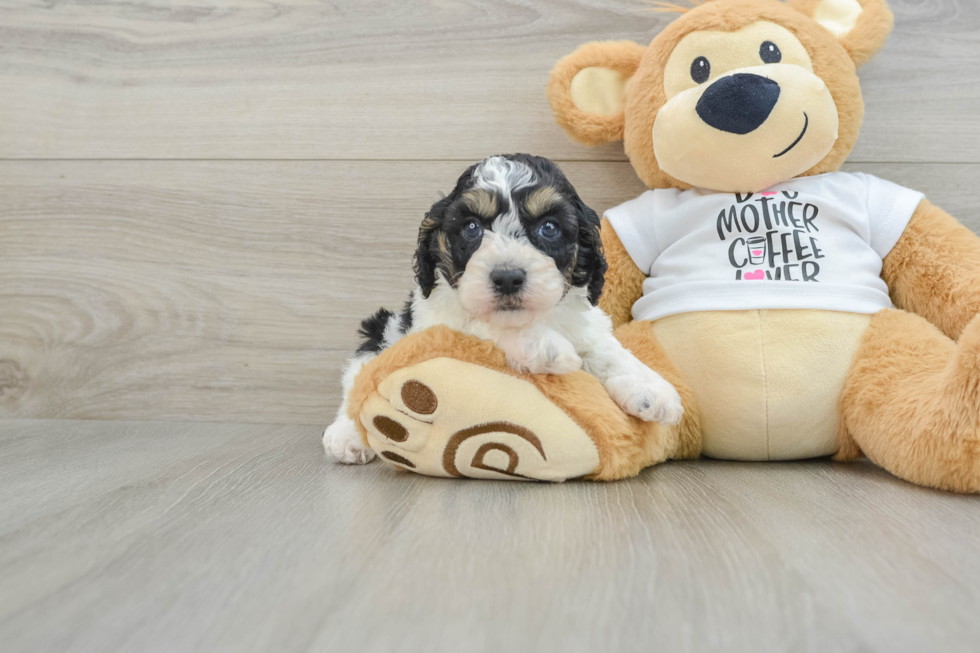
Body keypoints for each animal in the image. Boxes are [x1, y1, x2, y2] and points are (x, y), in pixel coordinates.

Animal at [326, 154, 684, 464]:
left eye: (549, 228)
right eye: (471, 228)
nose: (508, 278)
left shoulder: (583, 320)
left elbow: (606, 348)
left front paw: (651, 388)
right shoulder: (439, 317)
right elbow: (480, 322)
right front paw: (543, 345)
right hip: (384, 327)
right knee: (358, 378)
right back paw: (346, 436)